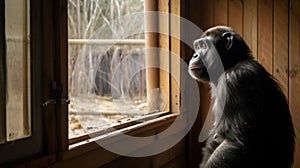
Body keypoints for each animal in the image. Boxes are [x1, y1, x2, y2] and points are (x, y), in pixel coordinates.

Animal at [189, 25, 294, 167]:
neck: (231, 65)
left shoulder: (236, 81)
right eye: (198, 47)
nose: (195, 55)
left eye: (204, 46)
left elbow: (234, 143)